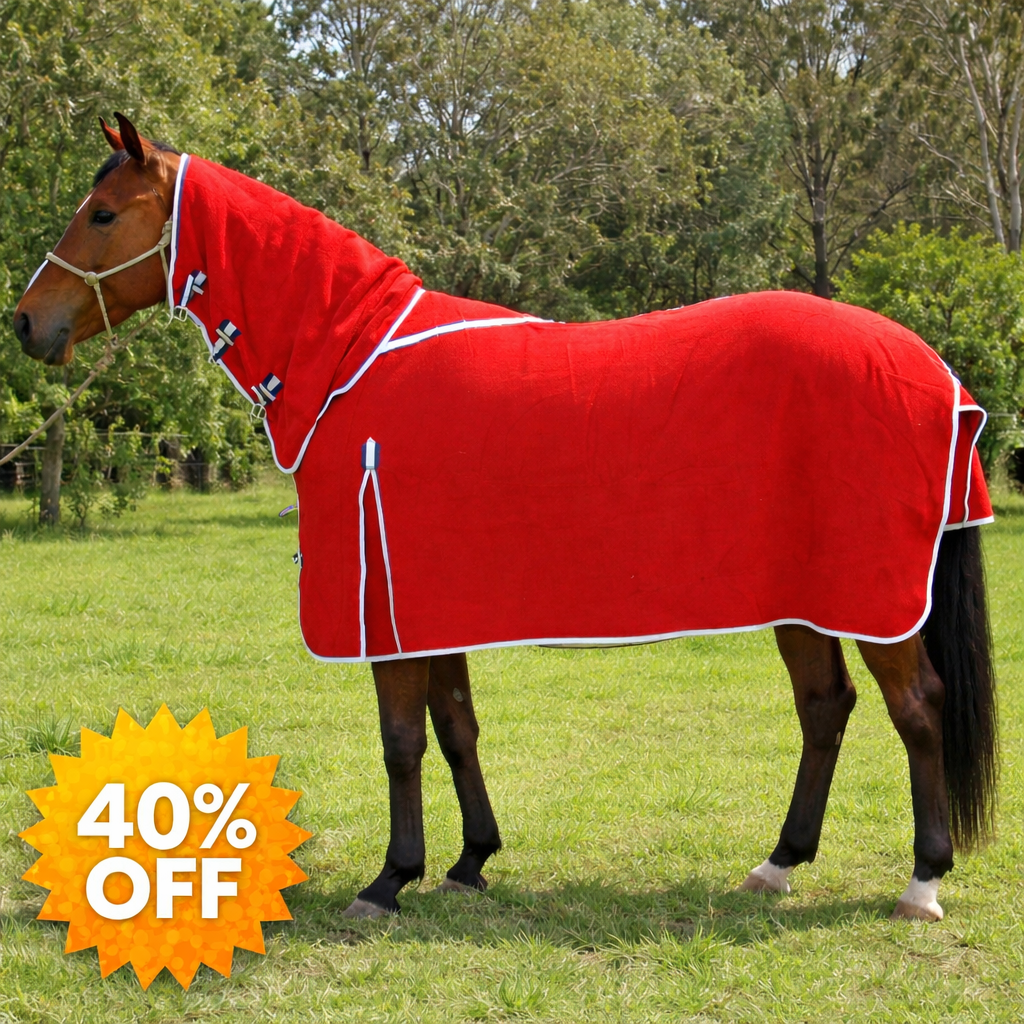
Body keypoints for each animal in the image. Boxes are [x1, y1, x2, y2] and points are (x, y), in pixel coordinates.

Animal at [14, 113, 998, 923]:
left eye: (102, 213)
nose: (26, 323)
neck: (351, 360)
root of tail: (936, 373)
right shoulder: (425, 603)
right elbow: (455, 729)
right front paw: (468, 863)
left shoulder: (386, 606)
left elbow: (402, 742)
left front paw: (389, 880)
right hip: (802, 599)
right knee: (826, 707)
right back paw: (778, 865)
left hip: (872, 597)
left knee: (917, 708)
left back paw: (922, 881)